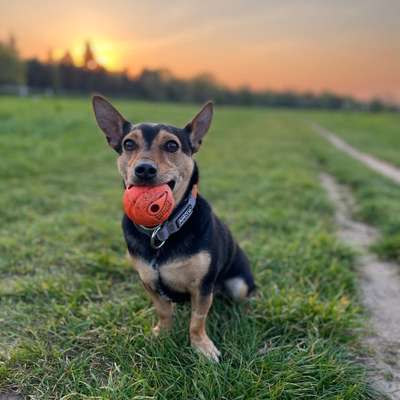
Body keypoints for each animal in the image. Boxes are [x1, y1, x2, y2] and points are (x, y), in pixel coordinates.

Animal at [92, 95, 255, 360]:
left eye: (171, 145)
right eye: (128, 144)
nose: (144, 169)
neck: (162, 230)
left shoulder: (202, 287)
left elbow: (197, 321)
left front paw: (202, 347)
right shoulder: (149, 282)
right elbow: (164, 311)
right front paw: (162, 334)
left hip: (238, 285)